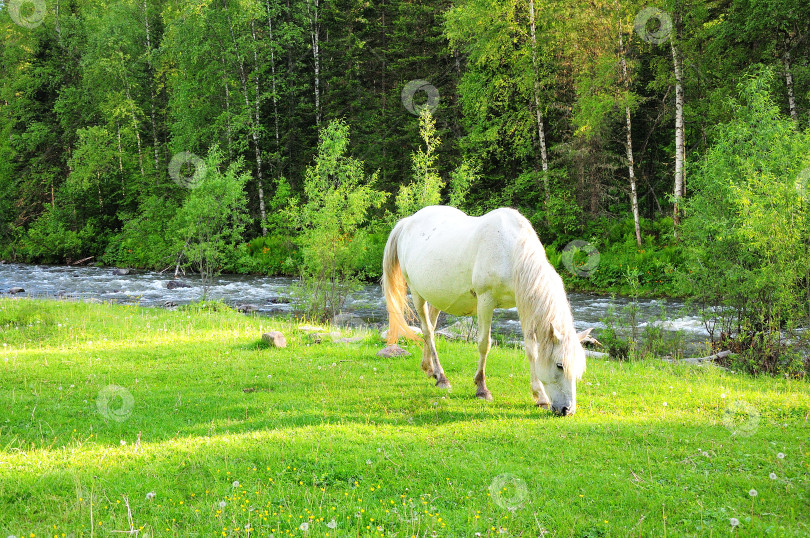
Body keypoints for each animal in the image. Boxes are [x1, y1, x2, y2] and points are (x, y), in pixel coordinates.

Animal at [382, 205, 592, 414]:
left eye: (579, 370)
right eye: (559, 365)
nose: (567, 409)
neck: (510, 251)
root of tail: (407, 222)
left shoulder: (522, 302)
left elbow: (531, 348)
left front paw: (540, 397)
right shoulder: (485, 301)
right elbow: (484, 344)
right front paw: (481, 388)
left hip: (436, 297)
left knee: (431, 328)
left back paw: (429, 369)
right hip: (417, 293)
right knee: (427, 331)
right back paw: (441, 378)